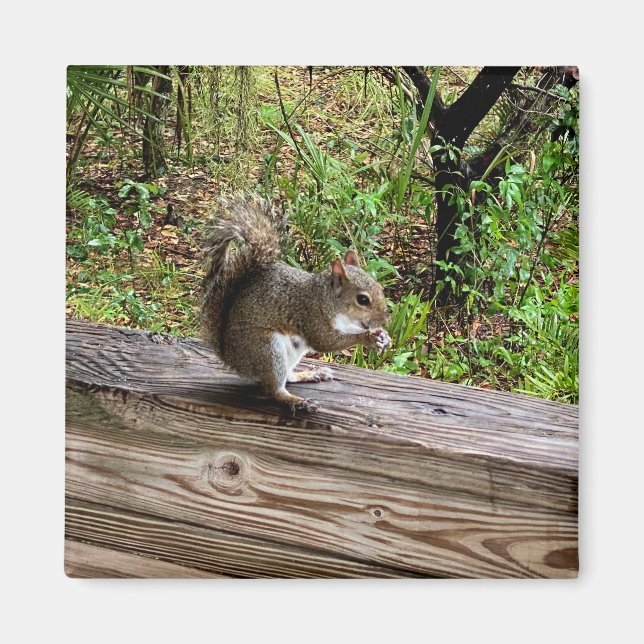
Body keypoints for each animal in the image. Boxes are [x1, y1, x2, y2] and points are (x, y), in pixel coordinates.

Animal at [201, 195, 392, 413]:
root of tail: (232, 358)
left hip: (290, 354)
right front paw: (367, 338)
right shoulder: (311, 317)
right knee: (274, 390)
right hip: (266, 350)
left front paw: (382, 336)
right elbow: (325, 342)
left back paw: (309, 374)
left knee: (288, 377)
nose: (385, 319)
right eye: (362, 299)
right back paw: (297, 401)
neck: (324, 299)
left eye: (379, 287)